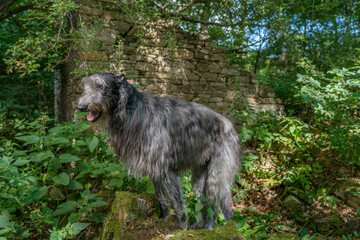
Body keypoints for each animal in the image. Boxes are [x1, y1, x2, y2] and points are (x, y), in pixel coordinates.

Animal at [77, 72, 243, 230]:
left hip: (216, 175)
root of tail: (231, 127)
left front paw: (182, 228)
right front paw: (163, 219)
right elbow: (162, 199)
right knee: (203, 205)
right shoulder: (154, 168)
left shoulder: (166, 168)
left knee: (214, 206)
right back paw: (197, 227)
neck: (131, 112)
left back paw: (208, 228)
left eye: (101, 86)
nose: (81, 107)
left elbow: (177, 203)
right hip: (199, 176)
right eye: (86, 86)